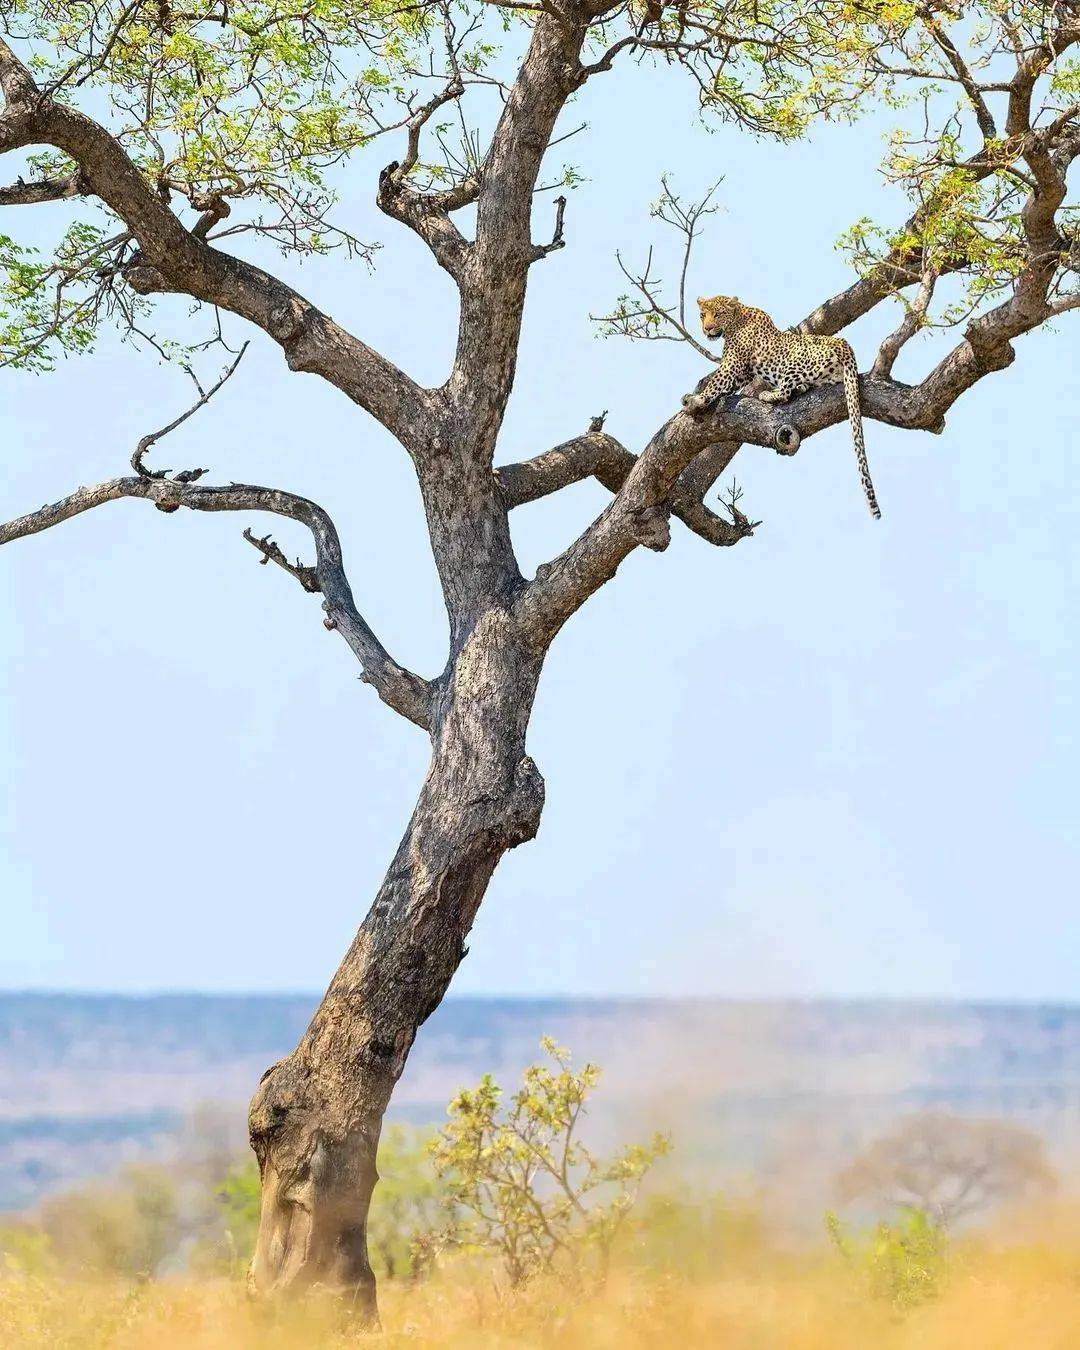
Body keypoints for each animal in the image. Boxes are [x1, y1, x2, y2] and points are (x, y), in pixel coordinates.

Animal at [688, 292, 880, 518]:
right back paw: (798, 389)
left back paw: (769, 394)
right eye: (702, 315)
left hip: (794, 361)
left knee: (786, 391)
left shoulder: (733, 364)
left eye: (718, 314)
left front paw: (696, 400)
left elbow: (716, 382)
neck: (736, 320)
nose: (707, 328)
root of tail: (844, 345)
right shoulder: (743, 373)